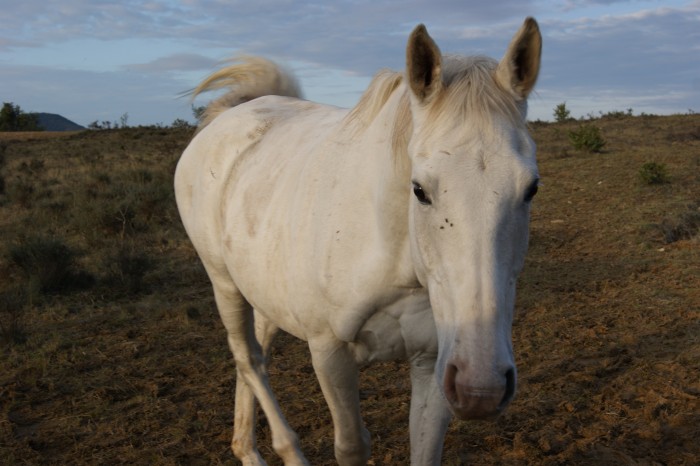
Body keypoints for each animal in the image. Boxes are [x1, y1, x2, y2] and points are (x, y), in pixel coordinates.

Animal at [175, 16, 540, 464]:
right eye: (419, 189)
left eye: (531, 188)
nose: (481, 389)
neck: (391, 255)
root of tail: (227, 118)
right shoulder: (330, 354)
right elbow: (351, 444)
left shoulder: (434, 362)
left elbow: (424, 446)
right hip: (223, 282)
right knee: (248, 358)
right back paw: (284, 450)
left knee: (255, 352)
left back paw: (246, 447)